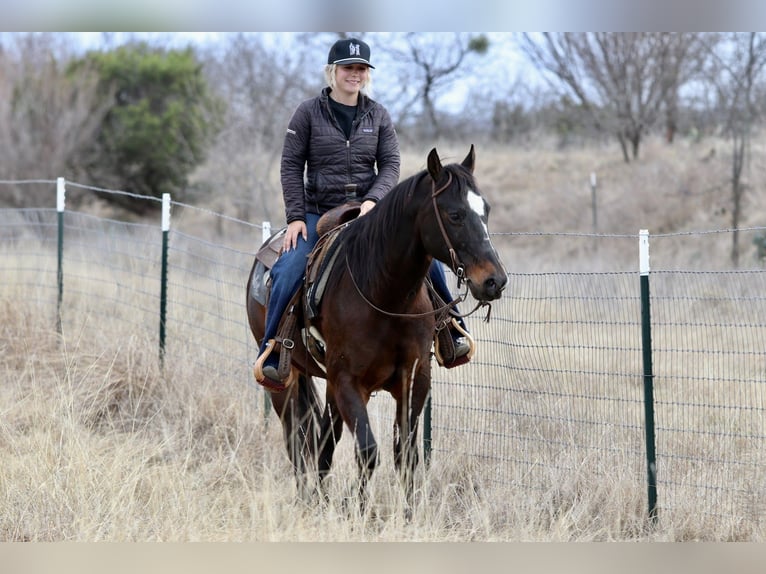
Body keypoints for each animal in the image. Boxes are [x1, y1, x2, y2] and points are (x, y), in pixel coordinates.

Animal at [245, 145, 507, 513]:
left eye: (486, 210)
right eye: (454, 214)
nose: (494, 281)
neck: (383, 293)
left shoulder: (414, 380)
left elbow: (406, 454)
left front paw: (408, 514)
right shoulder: (349, 383)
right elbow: (368, 451)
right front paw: (359, 510)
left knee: (323, 441)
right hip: (286, 381)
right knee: (297, 437)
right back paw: (306, 499)